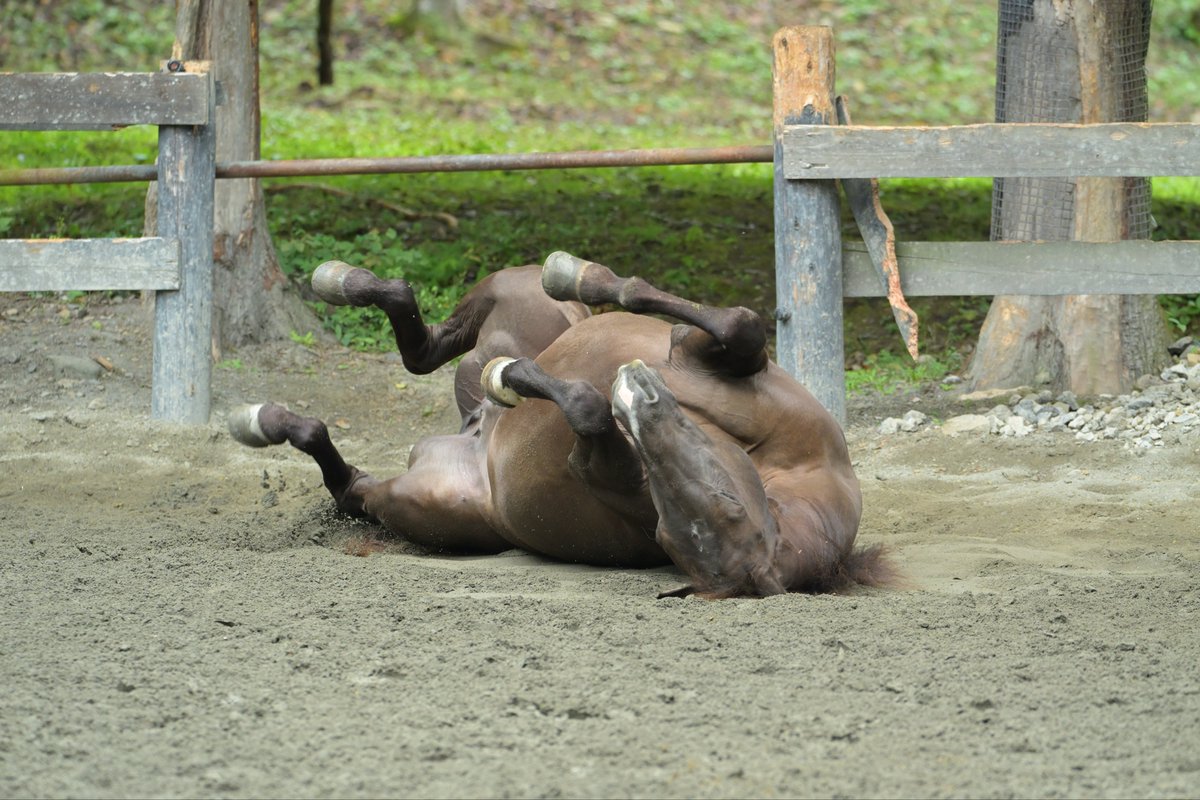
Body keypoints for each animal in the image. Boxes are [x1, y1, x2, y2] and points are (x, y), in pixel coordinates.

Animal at [228, 252, 888, 598]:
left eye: (715, 514)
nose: (639, 398)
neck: (786, 469)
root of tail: (469, 435)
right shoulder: (715, 354)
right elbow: (738, 323)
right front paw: (586, 281)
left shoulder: (597, 460)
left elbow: (584, 409)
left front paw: (521, 379)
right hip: (517, 306)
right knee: (423, 334)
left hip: (422, 498)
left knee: (350, 479)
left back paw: (262, 420)